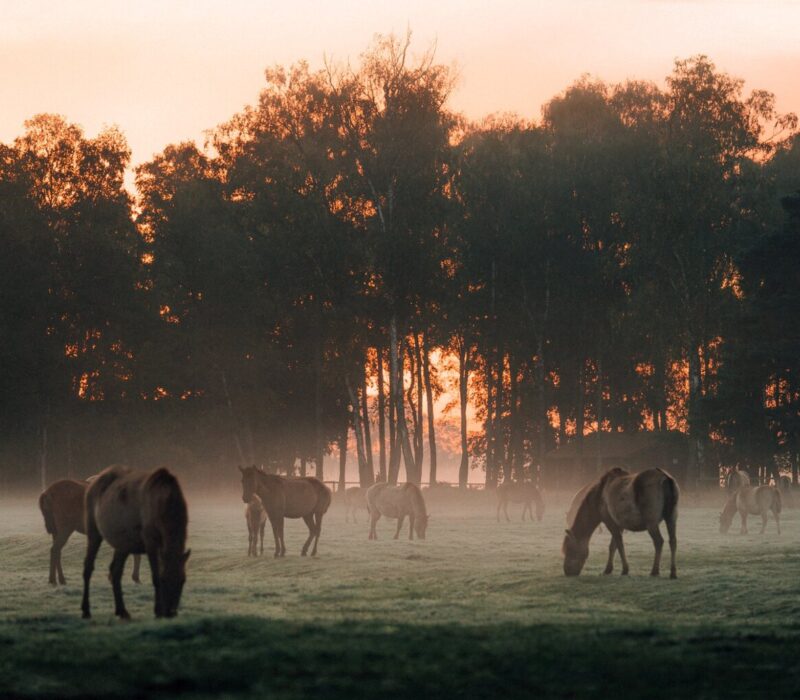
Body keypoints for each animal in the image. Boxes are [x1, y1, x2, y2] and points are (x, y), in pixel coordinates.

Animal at [81, 465, 190, 619]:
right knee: (88, 568)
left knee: (115, 572)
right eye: (163, 580)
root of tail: (92, 483)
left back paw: (122, 610)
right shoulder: (151, 543)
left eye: (183, 580)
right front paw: (157, 611)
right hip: (94, 534)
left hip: (122, 544)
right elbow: (154, 576)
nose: (171, 612)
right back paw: (86, 610)